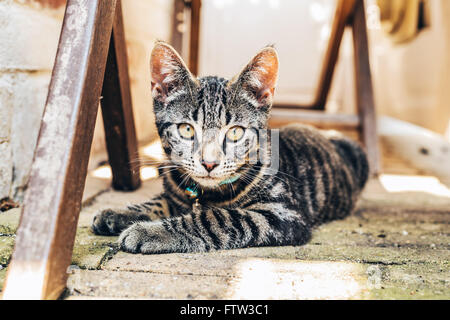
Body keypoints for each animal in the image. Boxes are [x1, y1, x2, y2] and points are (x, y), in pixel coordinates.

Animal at [91, 41, 370, 254]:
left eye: (235, 132)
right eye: (186, 129)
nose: (209, 163)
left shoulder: (281, 214)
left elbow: (216, 218)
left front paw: (149, 231)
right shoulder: (175, 191)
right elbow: (159, 201)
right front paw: (119, 212)